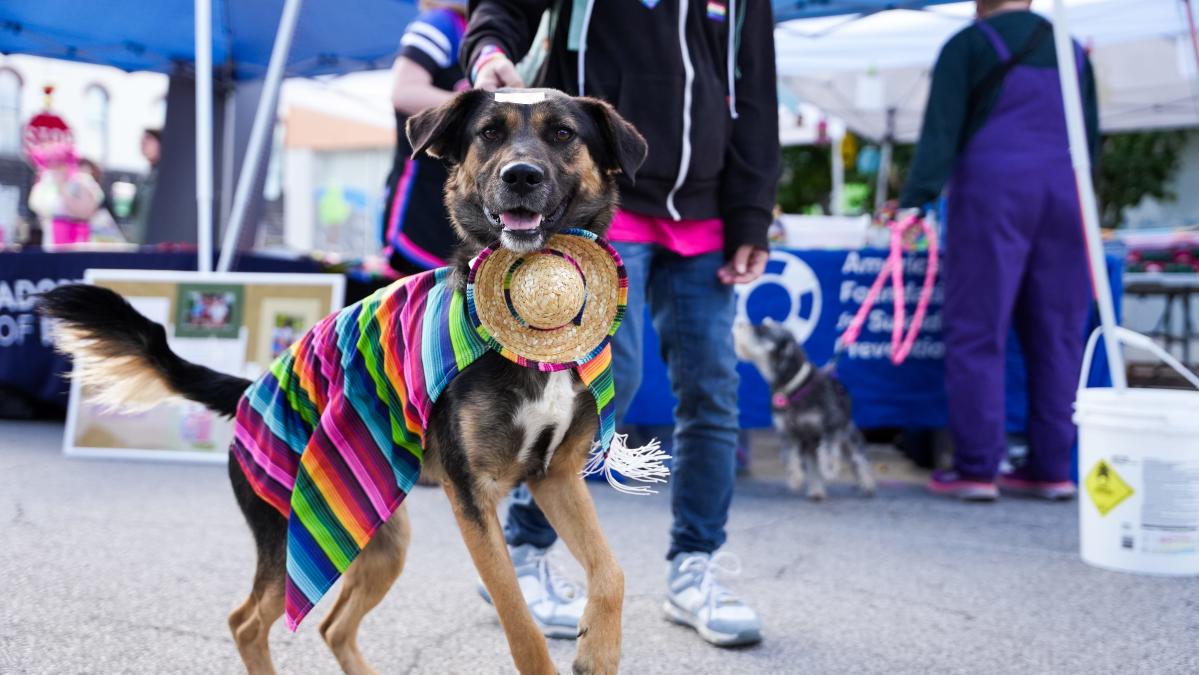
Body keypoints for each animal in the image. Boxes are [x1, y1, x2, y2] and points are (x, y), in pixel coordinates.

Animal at [39, 91, 647, 675]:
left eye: (562, 133)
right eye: (489, 133)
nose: (521, 175)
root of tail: (248, 391)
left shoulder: (554, 477)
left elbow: (613, 573)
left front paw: (599, 651)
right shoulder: (473, 497)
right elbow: (519, 623)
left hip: (380, 537)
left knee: (332, 626)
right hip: (291, 534)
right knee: (246, 621)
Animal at [728, 318, 872, 501]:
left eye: (763, 330)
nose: (738, 323)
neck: (795, 387)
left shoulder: (830, 426)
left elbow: (829, 451)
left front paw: (830, 470)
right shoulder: (788, 432)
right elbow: (790, 456)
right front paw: (795, 478)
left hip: (847, 434)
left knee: (858, 458)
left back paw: (867, 485)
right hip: (810, 444)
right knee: (813, 465)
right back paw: (816, 491)